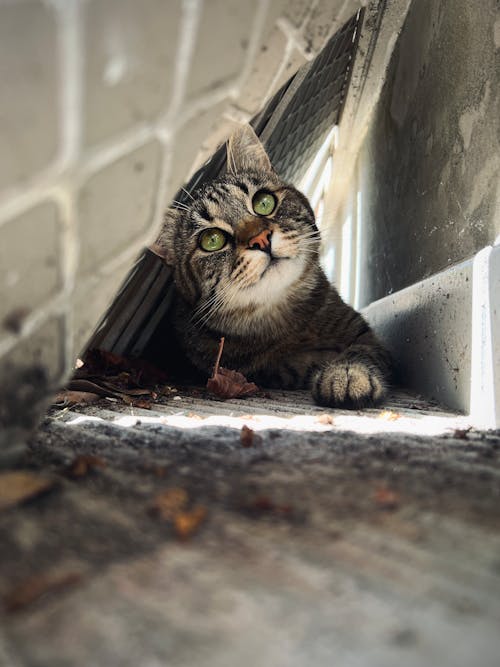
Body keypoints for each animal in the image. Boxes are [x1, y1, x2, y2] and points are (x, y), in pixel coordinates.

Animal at [153, 124, 390, 408]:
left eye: (263, 202)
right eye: (211, 240)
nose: (261, 239)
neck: (284, 322)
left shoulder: (364, 333)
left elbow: (361, 350)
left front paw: (347, 373)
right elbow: (291, 365)